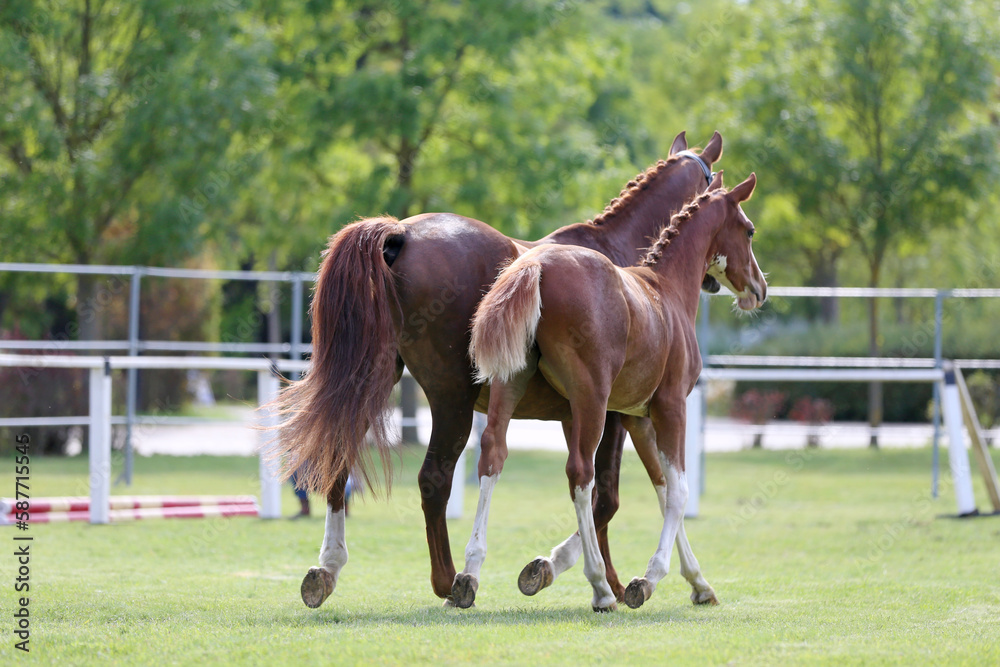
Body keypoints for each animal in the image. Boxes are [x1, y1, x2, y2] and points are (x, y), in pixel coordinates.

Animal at [273, 131, 724, 609]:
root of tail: (401, 234)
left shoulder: (584, 412)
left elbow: (608, 492)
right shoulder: (613, 413)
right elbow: (608, 495)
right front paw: (607, 582)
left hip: (370, 380)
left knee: (339, 458)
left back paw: (328, 567)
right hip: (451, 398)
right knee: (434, 478)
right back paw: (449, 579)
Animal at [465, 173, 766, 611]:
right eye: (749, 229)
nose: (760, 289)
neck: (666, 289)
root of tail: (538, 264)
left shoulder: (636, 417)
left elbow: (662, 488)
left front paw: (699, 582)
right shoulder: (671, 406)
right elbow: (678, 490)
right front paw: (647, 579)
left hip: (511, 383)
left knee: (492, 455)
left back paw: (468, 574)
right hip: (590, 399)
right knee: (580, 474)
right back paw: (601, 588)